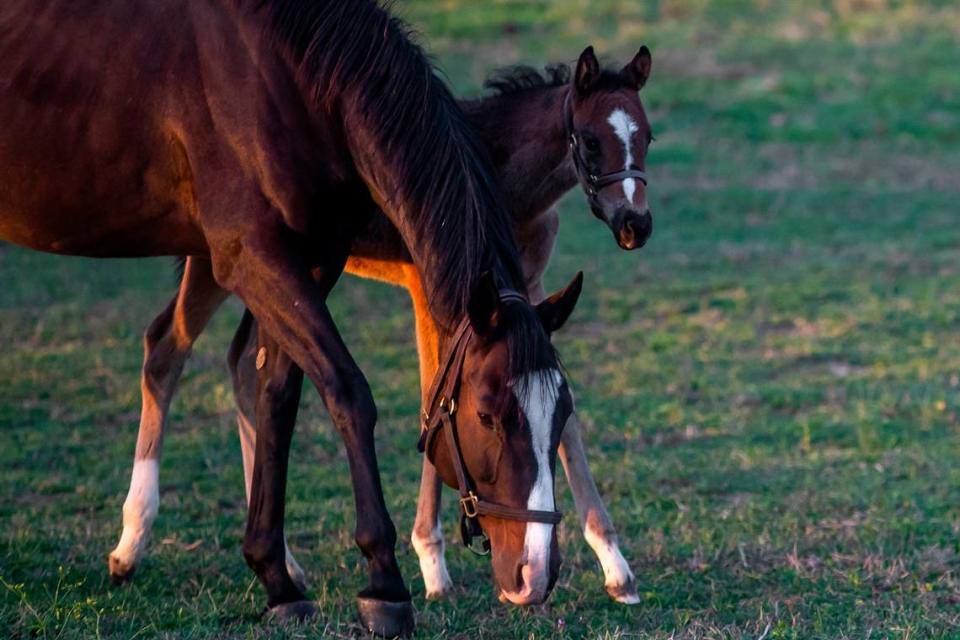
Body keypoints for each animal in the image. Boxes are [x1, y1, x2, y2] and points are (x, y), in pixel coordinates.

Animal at [0, 0, 584, 632]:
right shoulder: (253, 256)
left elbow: (278, 399)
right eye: (487, 416)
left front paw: (274, 576)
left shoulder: (314, 257)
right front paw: (384, 583)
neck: (288, 75)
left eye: (561, 413)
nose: (536, 574)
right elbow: (347, 392)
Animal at [109, 47, 656, 604]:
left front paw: (616, 566)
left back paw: (284, 561)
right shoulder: (432, 292)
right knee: (166, 346)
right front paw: (431, 560)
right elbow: (433, 393)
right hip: (219, 258)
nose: (635, 225)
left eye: (648, 136)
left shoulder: (528, 290)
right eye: (590, 140)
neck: (500, 171)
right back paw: (130, 545)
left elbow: (565, 415)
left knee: (242, 361)